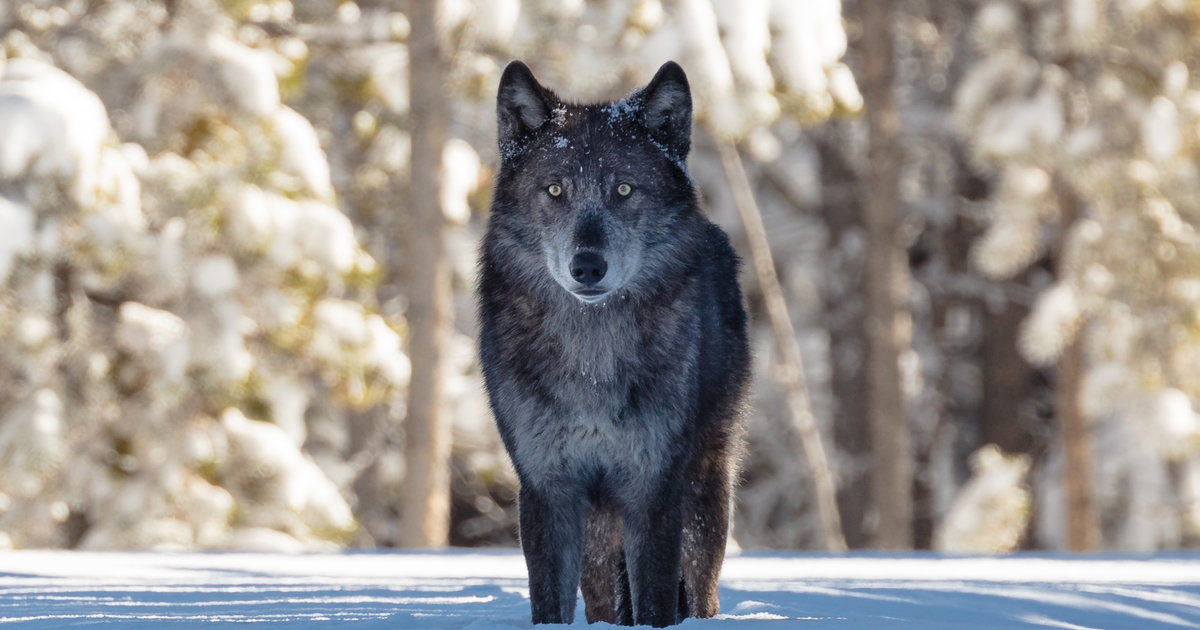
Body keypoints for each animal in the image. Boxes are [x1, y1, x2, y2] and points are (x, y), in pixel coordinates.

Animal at [477, 61, 748, 624]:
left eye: (624, 189)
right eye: (555, 190)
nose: (587, 266)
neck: (592, 361)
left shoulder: (654, 488)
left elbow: (655, 601)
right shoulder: (549, 488)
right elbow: (549, 603)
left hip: (704, 491)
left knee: (702, 590)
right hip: (600, 528)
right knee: (602, 598)